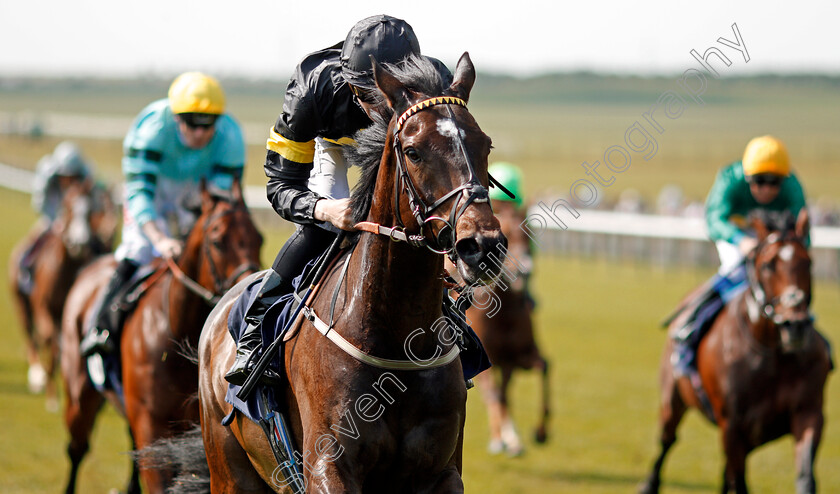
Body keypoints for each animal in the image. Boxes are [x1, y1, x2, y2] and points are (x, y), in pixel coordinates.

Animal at [7, 179, 118, 412]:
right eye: (68, 206)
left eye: (91, 210)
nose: (79, 243)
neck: (65, 270)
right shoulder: (44, 311)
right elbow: (52, 342)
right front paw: (51, 396)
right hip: (22, 305)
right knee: (32, 338)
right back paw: (37, 375)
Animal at [61, 180, 262, 494]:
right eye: (218, 241)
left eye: (259, 239)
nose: (252, 292)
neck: (177, 333)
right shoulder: (151, 423)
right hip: (79, 391)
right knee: (77, 448)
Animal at [200, 52, 506, 492]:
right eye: (413, 151)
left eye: (485, 144)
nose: (481, 246)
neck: (397, 339)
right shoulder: (327, 465)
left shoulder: (442, 470)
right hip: (228, 468)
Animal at [466, 199, 552, 454]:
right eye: (508, 236)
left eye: (529, 233)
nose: (525, 270)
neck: (504, 311)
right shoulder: (487, 360)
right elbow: (495, 396)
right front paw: (499, 439)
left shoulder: (518, 356)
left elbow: (545, 367)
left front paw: (540, 432)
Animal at [644, 208, 832, 494]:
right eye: (767, 265)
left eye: (808, 262)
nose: (796, 324)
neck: (772, 353)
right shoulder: (732, 425)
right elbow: (740, 481)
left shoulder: (808, 412)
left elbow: (805, 476)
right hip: (673, 398)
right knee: (667, 439)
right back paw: (648, 484)